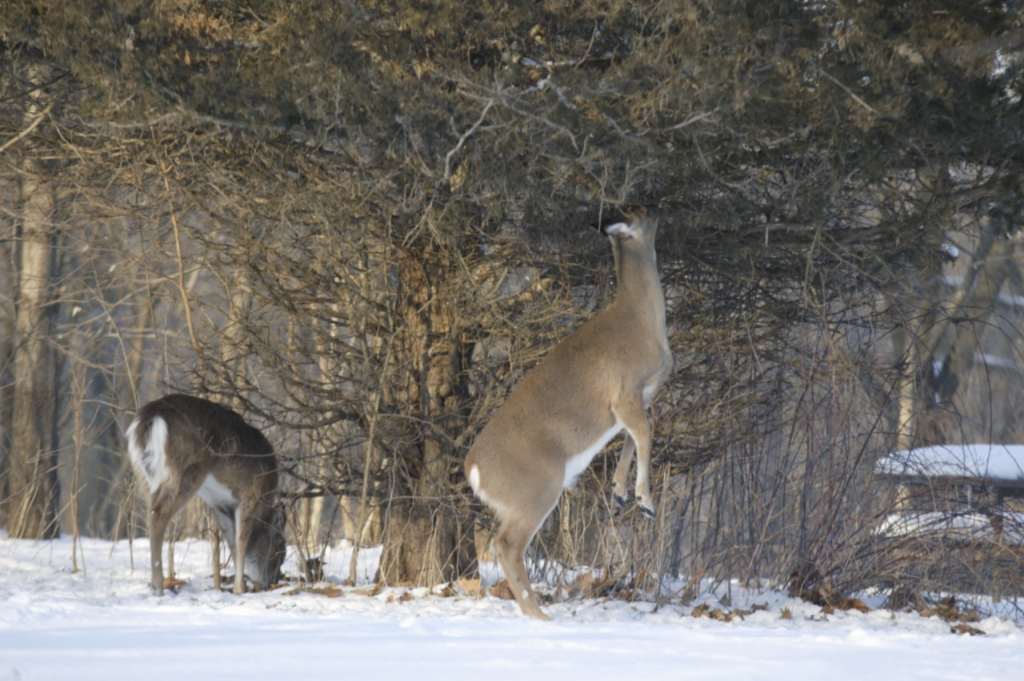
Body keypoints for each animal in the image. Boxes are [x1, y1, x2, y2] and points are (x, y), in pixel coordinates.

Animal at [127, 393, 286, 596]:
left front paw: (239, 586)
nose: (272, 582)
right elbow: (241, 540)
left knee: (151, 511)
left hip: (145, 476)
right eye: (280, 551)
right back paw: (158, 587)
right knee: (158, 514)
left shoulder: (219, 504)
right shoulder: (251, 494)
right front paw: (239, 589)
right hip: (186, 470)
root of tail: (151, 417)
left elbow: (232, 542)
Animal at [464, 208, 673, 620]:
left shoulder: (638, 399)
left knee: (499, 543)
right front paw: (645, 502)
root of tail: (474, 469)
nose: (659, 211)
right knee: (507, 545)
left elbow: (633, 438)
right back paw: (539, 614)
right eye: (640, 214)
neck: (641, 319)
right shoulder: (624, 390)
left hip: (518, 500)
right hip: (538, 487)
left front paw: (620, 492)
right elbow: (644, 436)